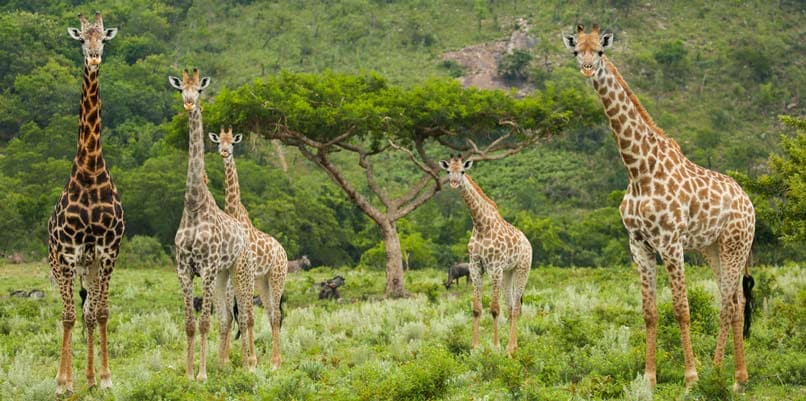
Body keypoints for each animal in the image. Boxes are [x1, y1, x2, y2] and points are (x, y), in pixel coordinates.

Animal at [169, 69, 258, 382]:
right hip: (222, 274)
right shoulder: (184, 269)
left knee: (245, 314)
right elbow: (190, 324)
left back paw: (250, 363)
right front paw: (188, 373)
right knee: (228, 316)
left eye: (199, 90)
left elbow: (205, 322)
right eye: (181, 88)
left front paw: (202, 375)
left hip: (239, 269)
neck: (194, 203)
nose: (188, 102)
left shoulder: (205, 267)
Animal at [208, 126, 290, 368]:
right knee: (271, 313)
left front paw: (250, 360)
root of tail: (283, 251)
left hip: (277, 276)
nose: (225, 153)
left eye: (233, 143)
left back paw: (275, 361)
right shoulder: (240, 275)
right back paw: (272, 359)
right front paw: (230, 358)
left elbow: (248, 316)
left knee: (276, 315)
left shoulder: (247, 272)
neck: (235, 213)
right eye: (219, 142)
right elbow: (237, 315)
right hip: (263, 281)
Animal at [438, 155, 532, 354]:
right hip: (508, 273)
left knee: (516, 306)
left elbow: (494, 308)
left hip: (522, 269)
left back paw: (510, 348)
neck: (481, 225)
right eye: (448, 171)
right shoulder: (475, 267)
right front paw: (475, 347)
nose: (454, 183)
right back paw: (513, 346)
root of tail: (527, 242)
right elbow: (477, 308)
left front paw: (495, 346)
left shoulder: (494, 267)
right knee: (510, 305)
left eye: (462, 171)